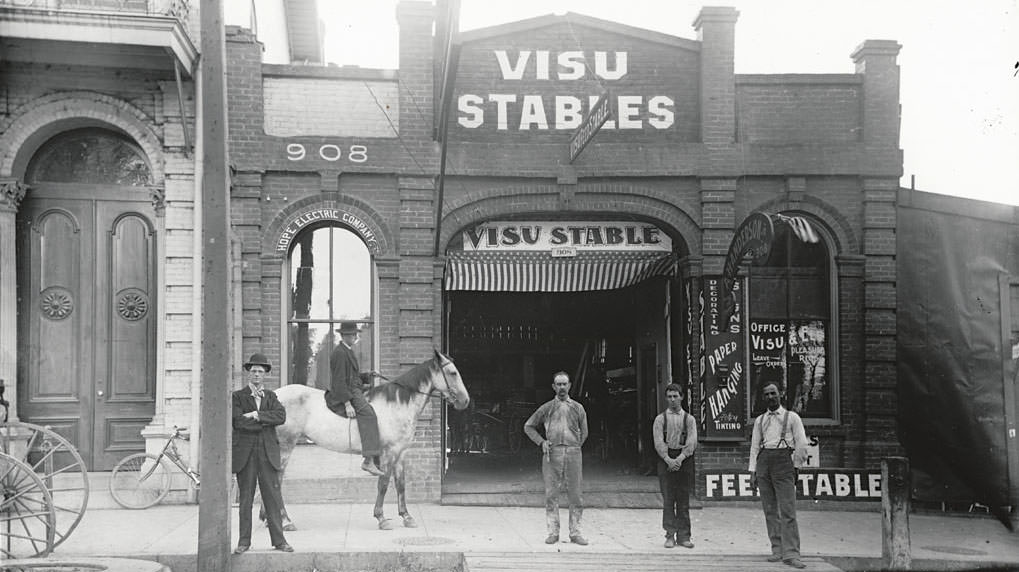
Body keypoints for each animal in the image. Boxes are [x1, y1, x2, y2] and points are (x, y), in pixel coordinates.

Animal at [262, 350, 468, 530]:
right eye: (452, 372)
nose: (465, 401)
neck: (397, 404)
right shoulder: (389, 453)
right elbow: (383, 484)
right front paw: (381, 517)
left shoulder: (401, 453)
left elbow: (401, 484)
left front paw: (406, 516)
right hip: (285, 446)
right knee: (276, 480)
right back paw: (285, 521)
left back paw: (269, 518)